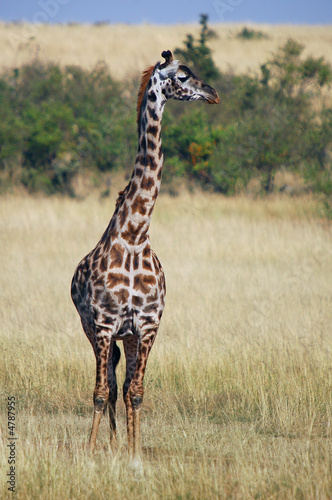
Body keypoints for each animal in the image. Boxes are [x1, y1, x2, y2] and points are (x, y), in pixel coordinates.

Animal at [70, 50, 219, 460]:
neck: (135, 235)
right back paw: (109, 443)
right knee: (108, 384)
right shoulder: (104, 324)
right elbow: (100, 392)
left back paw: (122, 444)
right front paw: (91, 452)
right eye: (181, 75)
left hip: (129, 337)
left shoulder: (149, 325)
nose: (213, 93)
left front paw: (136, 455)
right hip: (94, 332)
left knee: (123, 387)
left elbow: (136, 392)